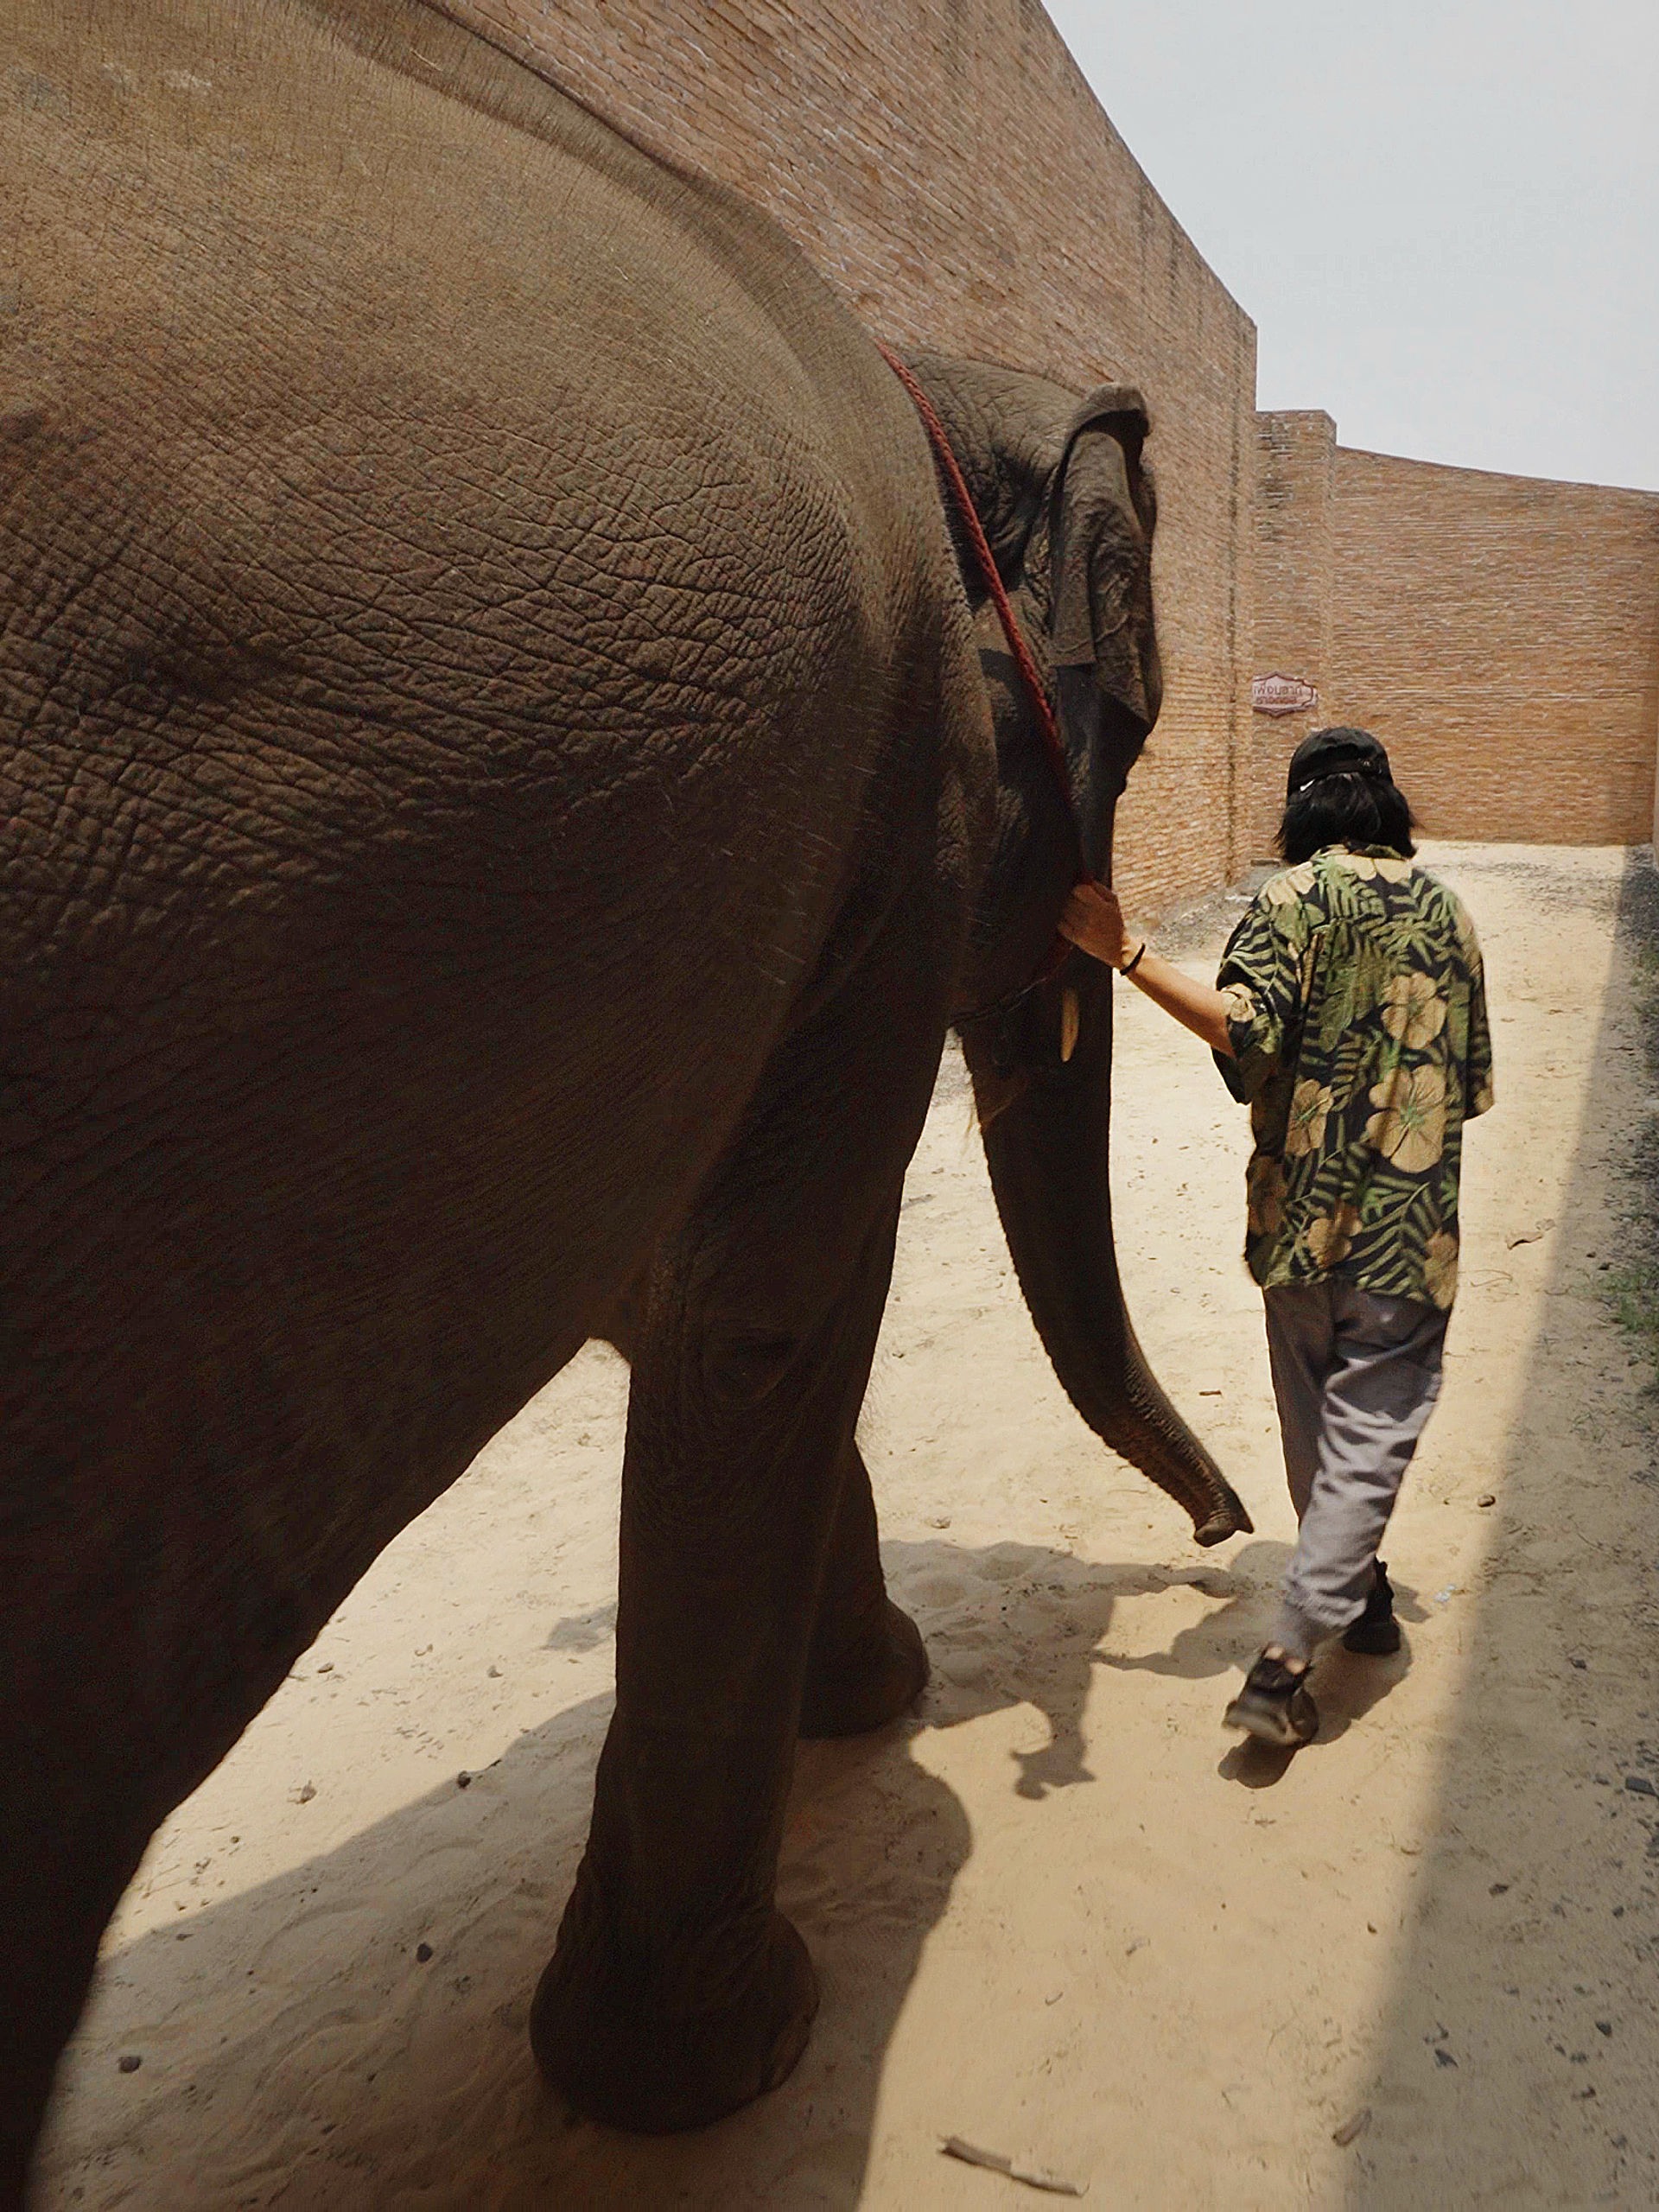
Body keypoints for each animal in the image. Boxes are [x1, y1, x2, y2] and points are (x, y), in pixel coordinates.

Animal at [0, 0, 1248, 2193]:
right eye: (1141, 717)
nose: (1222, 1539)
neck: (926, 369)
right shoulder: (885, 816)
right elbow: (768, 1303)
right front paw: (726, 2044)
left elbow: (679, 1296)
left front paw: (861, 1707)